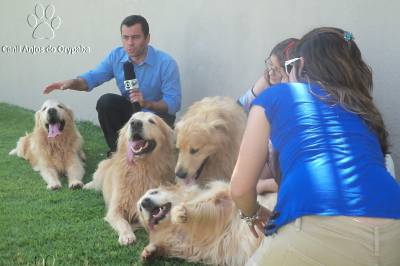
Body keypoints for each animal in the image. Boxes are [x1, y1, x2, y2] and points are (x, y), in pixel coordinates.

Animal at [84, 111, 175, 245]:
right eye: (132, 119)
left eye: (152, 121)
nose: (135, 123)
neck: (141, 169)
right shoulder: (115, 209)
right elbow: (123, 222)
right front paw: (127, 235)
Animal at [137, 180, 276, 264]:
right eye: (140, 208)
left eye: (154, 192)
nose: (144, 202)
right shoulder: (190, 245)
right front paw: (149, 251)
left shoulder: (222, 200)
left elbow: (202, 203)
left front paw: (180, 211)